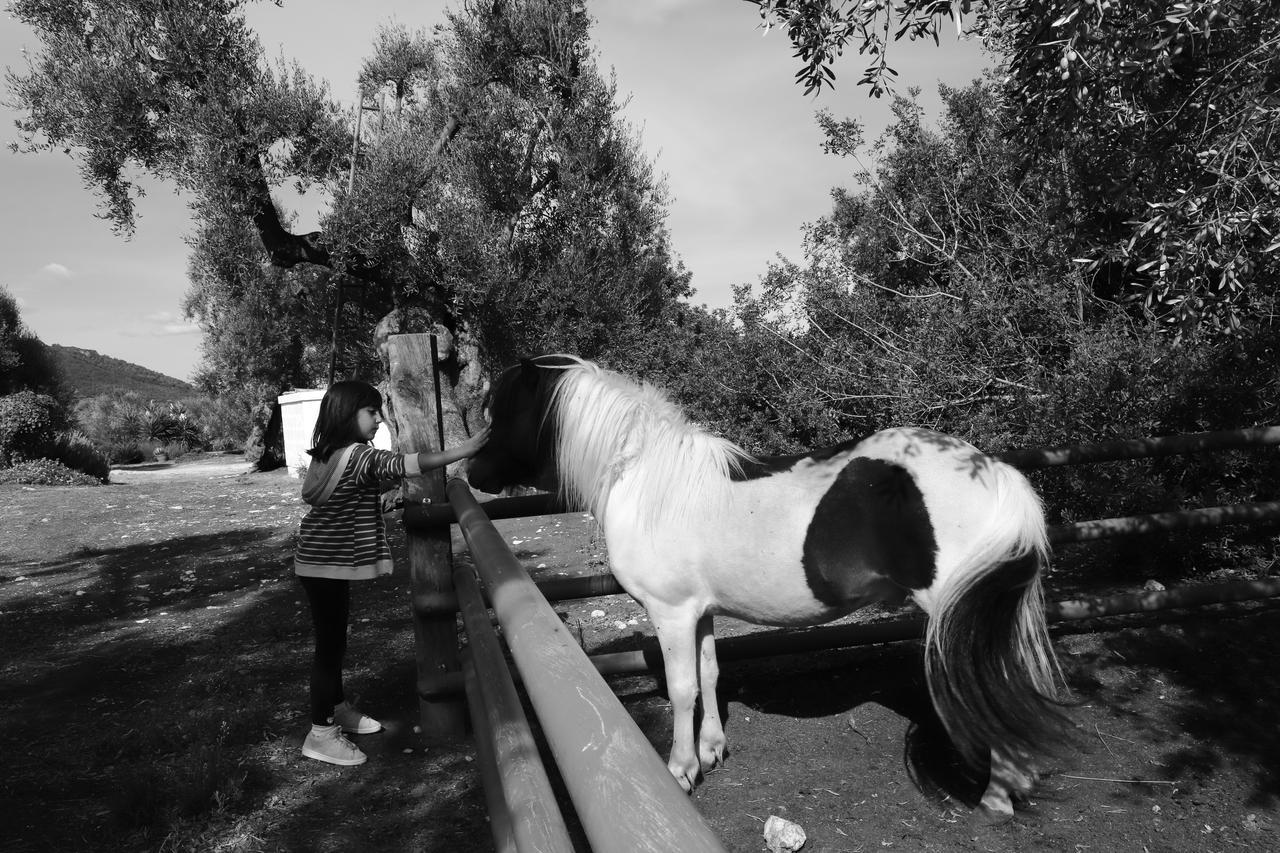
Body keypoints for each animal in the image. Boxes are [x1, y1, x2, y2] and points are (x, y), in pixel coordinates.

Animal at [465, 350, 1075, 819]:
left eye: (506, 411)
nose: (472, 475)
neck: (644, 480)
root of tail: (994, 470)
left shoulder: (670, 612)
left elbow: (682, 688)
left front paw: (681, 769)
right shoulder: (701, 612)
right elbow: (710, 674)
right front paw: (712, 751)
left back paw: (995, 800)